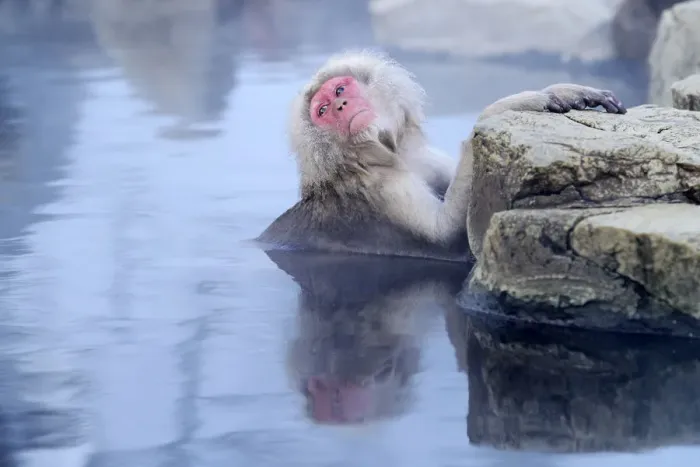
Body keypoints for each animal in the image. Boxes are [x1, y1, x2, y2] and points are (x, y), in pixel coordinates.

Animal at [256, 50, 627, 262]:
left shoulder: (417, 154)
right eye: (322, 110)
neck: (375, 154)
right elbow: (448, 236)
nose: (340, 106)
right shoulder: (381, 189)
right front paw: (515, 103)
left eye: (339, 90)